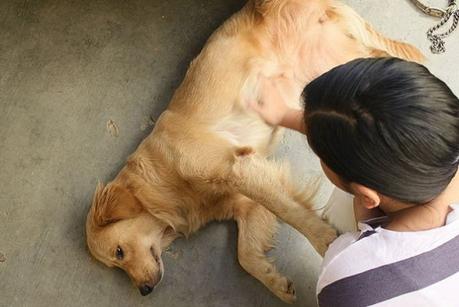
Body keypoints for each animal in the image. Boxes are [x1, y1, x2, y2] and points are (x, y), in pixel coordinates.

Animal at [86, 0, 424, 304]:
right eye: (116, 264)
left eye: (119, 252)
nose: (144, 290)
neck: (163, 180)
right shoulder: (247, 199)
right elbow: (245, 254)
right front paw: (274, 280)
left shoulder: (235, 168)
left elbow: (289, 213)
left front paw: (325, 241)